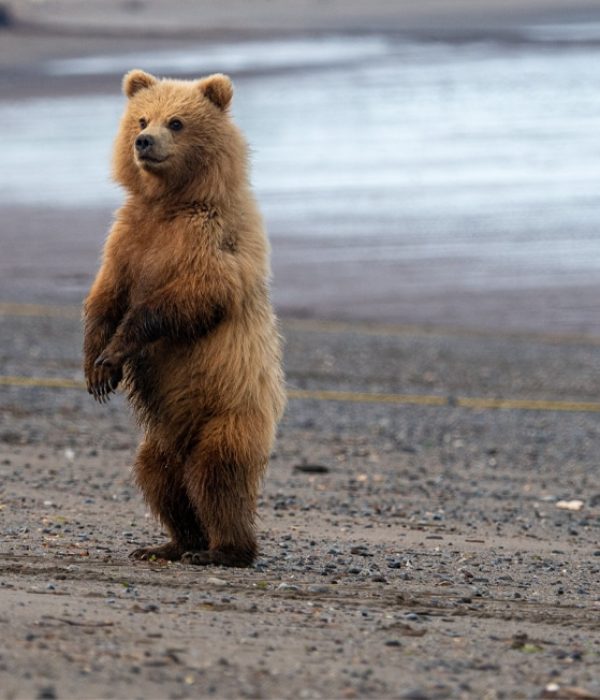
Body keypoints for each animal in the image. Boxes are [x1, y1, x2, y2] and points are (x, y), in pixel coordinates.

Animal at [83, 69, 286, 567]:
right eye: (141, 118)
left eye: (176, 122)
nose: (143, 141)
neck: (170, 203)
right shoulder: (128, 239)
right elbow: (104, 296)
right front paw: (95, 368)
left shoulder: (209, 240)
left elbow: (185, 301)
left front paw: (113, 354)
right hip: (161, 438)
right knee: (159, 477)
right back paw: (170, 543)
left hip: (230, 414)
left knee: (217, 477)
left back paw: (225, 549)